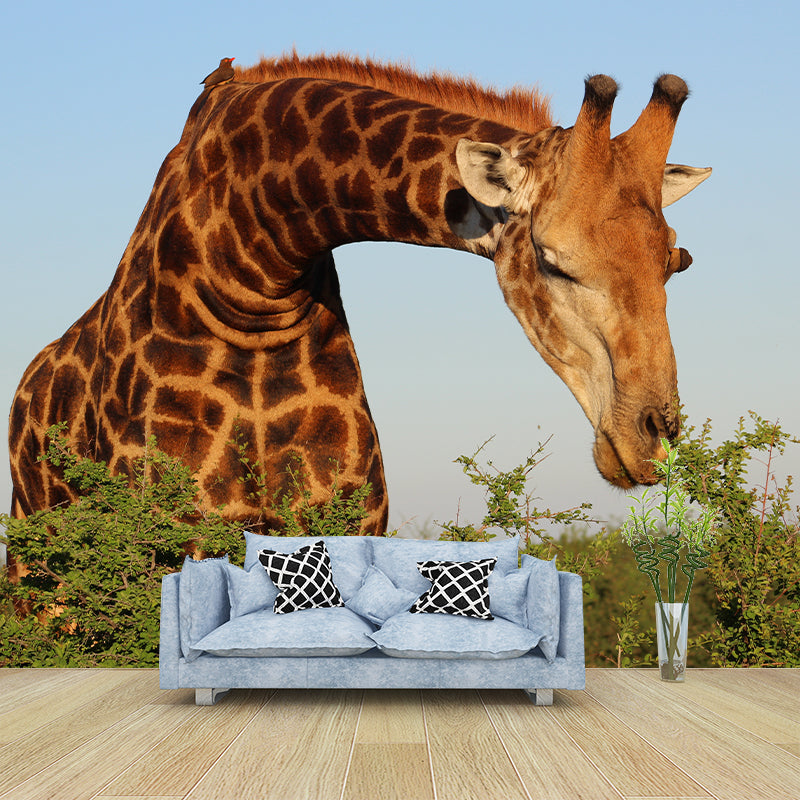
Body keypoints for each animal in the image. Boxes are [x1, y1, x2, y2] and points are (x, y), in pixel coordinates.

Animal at [8, 53, 711, 539]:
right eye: (552, 261)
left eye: (675, 264)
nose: (652, 441)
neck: (250, 275)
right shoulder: (181, 533)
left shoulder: (342, 520)